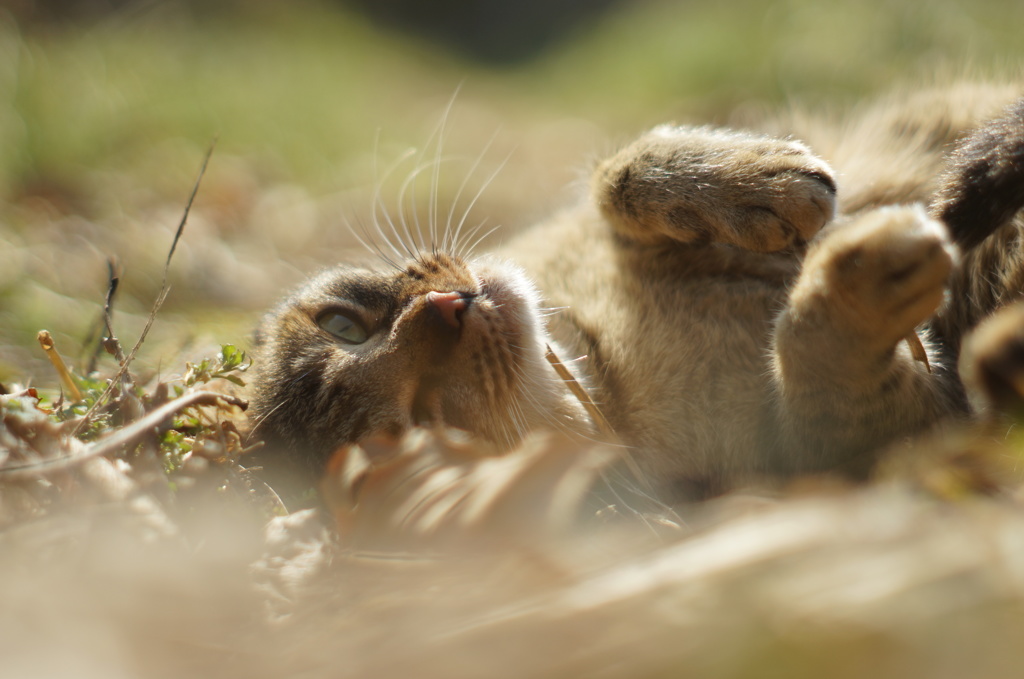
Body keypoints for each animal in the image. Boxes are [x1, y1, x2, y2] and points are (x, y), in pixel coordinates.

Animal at [247, 82, 1024, 501]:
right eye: (417, 425)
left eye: (344, 324)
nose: (445, 311)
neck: (601, 356)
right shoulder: (890, 436)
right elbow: (825, 368)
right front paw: (857, 280)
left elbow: (617, 170)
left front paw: (745, 181)